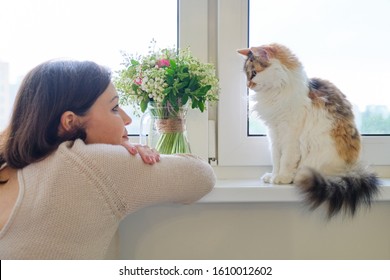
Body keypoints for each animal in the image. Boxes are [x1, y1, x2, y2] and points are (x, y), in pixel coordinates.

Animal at [236, 43, 380, 219]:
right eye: (246, 74)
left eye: (254, 73)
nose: (247, 85)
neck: (275, 94)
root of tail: (349, 171)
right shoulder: (274, 133)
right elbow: (276, 159)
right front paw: (273, 176)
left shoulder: (290, 132)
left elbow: (286, 159)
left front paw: (282, 177)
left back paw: (296, 177)